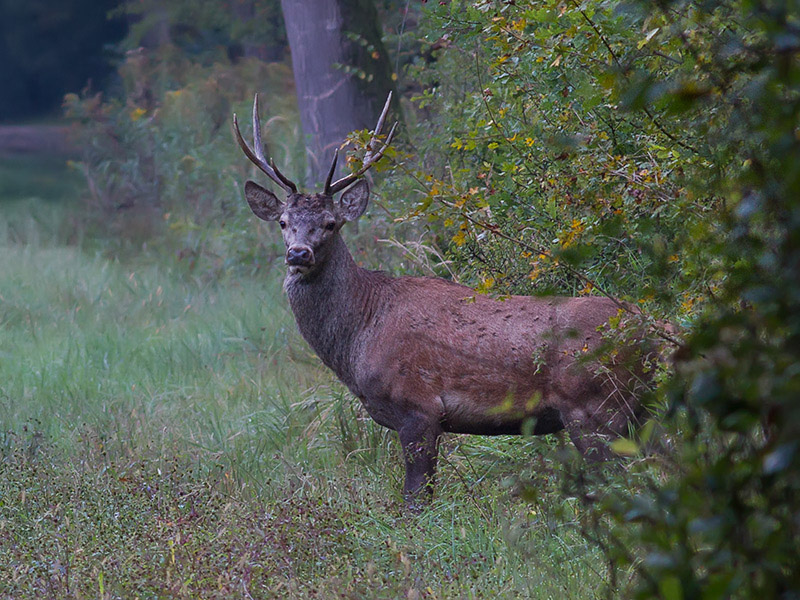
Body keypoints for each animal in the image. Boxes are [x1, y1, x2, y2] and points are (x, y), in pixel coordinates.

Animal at [233, 91, 656, 508]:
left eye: (331, 224)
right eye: (283, 222)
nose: (298, 254)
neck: (359, 336)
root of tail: (653, 331)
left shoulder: (418, 408)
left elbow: (415, 501)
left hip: (594, 408)